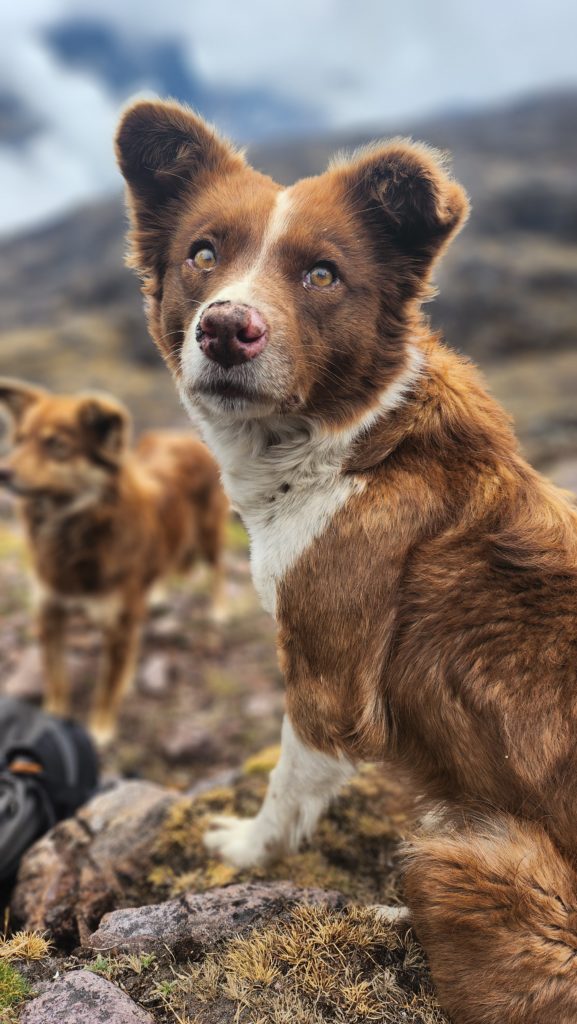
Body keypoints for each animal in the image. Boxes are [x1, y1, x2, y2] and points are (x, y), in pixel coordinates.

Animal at [0, 380, 228, 749]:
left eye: (57, 445)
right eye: (19, 440)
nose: (2, 473)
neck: (72, 530)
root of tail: (183, 437)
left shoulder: (119, 625)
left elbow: (107, 687)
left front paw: (100, 731)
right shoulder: (50, 612)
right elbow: (56, 677)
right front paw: (53, 718)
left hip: (208, 534)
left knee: (217, 569)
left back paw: (220, 610)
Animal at [116, 101, 577, 1024]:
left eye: (323, 275)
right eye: (203, 254)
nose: (225, 329)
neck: (351, 442)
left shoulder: (329, 685)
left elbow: (287, 788)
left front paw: (245, 850)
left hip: (468, 861)